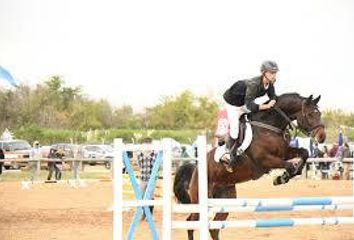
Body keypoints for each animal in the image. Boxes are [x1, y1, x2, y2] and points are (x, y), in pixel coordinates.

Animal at [174, 93, 326, 240]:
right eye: (310, 114)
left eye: (319, 114)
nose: (322, 137)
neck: (269, 127)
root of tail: (195, 168)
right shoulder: (265, 160)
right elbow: (289, 165)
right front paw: (281, 178)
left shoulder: (284, 153)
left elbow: (304, 153)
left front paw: (285, 177)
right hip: (200, 199)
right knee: (191, 222)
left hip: (226, 199)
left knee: (214, 228)